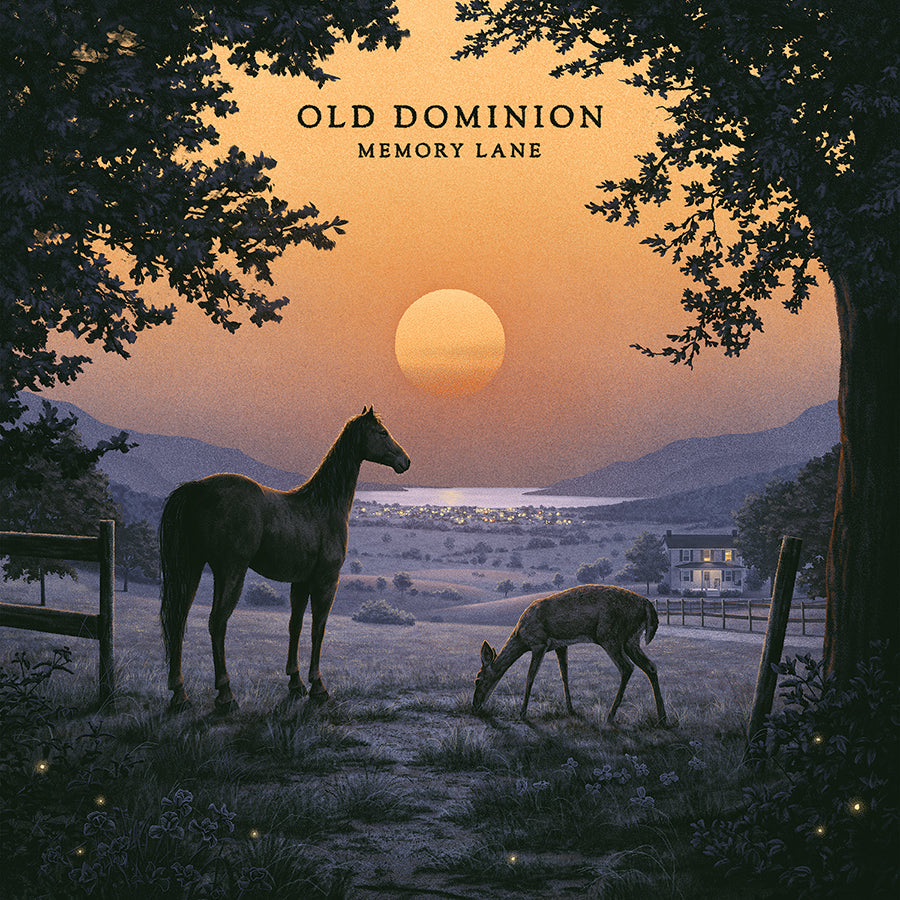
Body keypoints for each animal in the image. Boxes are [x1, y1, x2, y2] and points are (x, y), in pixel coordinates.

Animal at [158, 407, 410, 713]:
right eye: (382, 433)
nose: (405, 460)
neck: (323, 506)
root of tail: (198, 488)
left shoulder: (300, 583)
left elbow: (295, 626)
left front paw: (296, 683)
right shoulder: (327, 581)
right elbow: (318, 628)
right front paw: (317, 687)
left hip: (192, 569)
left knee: (178, 619)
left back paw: (179, 694)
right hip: (231, 571)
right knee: (217, 623)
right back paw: (225, 695)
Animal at [472, 585, 667, 725]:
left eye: (478, 680)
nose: (475, 706)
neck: (521, 636)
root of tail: (648, 605)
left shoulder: (539, 643)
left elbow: (530, 677)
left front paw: (522, 713)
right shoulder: (561, 645)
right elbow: (564, 675)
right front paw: (571, 709)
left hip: (610, 635)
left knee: (627, 667)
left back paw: (610, 716)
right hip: (631, 640)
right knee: (650, 666)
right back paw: (662, 718)